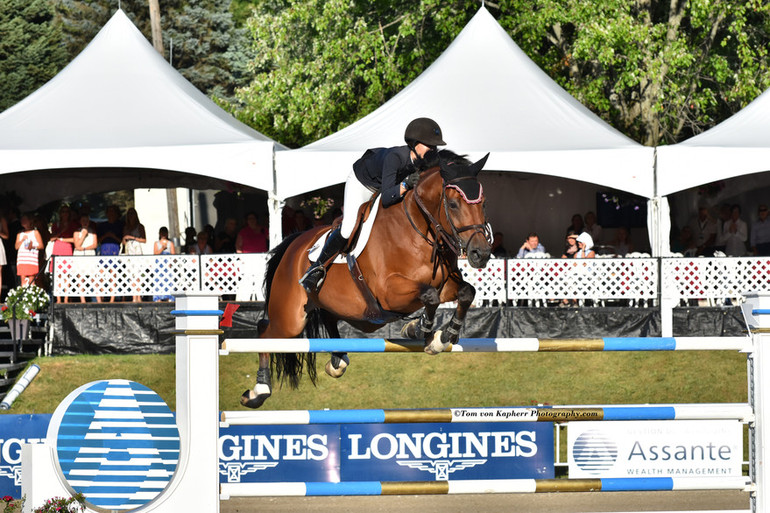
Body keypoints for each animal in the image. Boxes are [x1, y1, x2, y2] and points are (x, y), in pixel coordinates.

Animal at [242, 149, 492, 408]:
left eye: (483, 203)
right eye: (452, 204)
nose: (481, 254)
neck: (421, 231)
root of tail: (294, 242)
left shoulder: (445, 285)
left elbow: (466, 292)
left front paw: (441, 335)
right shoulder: (388, 293)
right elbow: (430, 296)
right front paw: (421, 329)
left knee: (327, 319)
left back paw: (337, 361)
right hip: (291, 320)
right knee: (265, 332)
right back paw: (259, 390)